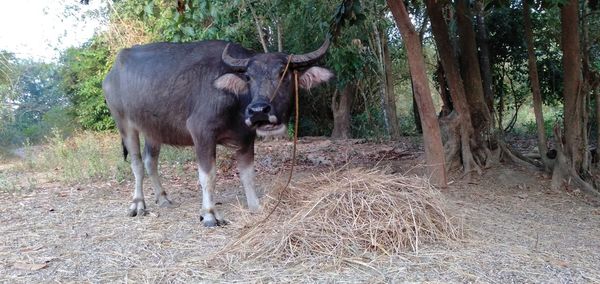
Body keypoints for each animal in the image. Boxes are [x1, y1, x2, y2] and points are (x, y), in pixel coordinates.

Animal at [102, 38, 332, 227]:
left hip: (153, 129)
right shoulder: (202, 133)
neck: (236, 101)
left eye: (284, 74)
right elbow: (208, 176)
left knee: (150, 161)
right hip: (124, 123)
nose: (259, 111)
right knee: (137, 163)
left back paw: (163, 198)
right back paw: (138, 204)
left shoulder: (246, 139)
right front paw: (209, 214)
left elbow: (247, 174)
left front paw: (255, 206)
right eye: (249, 77)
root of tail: (111, 74)